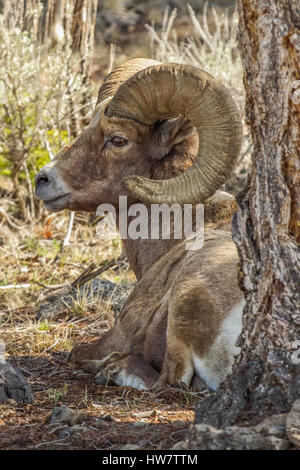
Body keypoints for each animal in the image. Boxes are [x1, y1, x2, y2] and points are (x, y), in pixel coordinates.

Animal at [36, 57, 245, 390]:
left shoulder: (122, 331)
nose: (42, 180)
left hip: (184, 297)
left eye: (118, 140)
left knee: (170, 379)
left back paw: (110, 369)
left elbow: (76, 352)